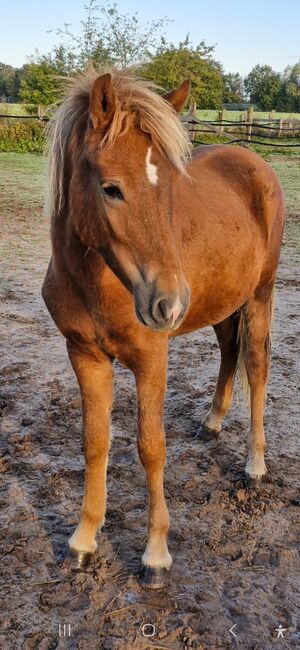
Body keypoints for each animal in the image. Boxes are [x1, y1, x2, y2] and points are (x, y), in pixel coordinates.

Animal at [41, 66, 284, 588]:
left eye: (170, 187)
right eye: (111, 188)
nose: (168, 303)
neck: (97, 282)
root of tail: (256, 163)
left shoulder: (152, 358)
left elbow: (151, 447)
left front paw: (155, 555)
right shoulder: (85, 356)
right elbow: (95, 442)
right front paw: (84, 539)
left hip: (260, 294)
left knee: (256, 365)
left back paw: (255, 465)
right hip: (222, 304)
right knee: (230, 351)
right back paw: (212, 422)